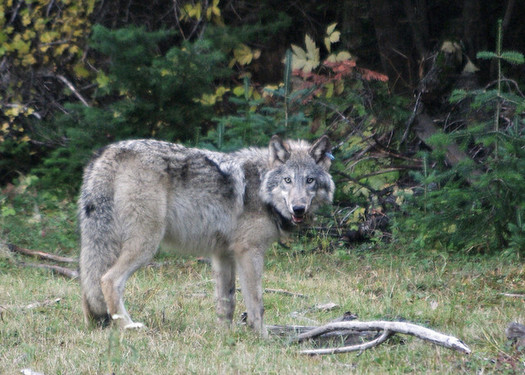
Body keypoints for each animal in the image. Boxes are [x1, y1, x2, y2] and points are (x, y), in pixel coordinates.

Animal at [78, 135, 334, 334]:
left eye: (310, 180)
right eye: (287, 180)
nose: (298, 209)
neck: (261, 188)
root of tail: (110, 151)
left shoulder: (223, 254)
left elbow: (226, 301)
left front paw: (225, 335)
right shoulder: (249, 252)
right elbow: (256, 304)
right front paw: (263, 338)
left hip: (102, 244)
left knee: (89, 282)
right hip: (146, 245)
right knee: (108, 280)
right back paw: (128, 326)